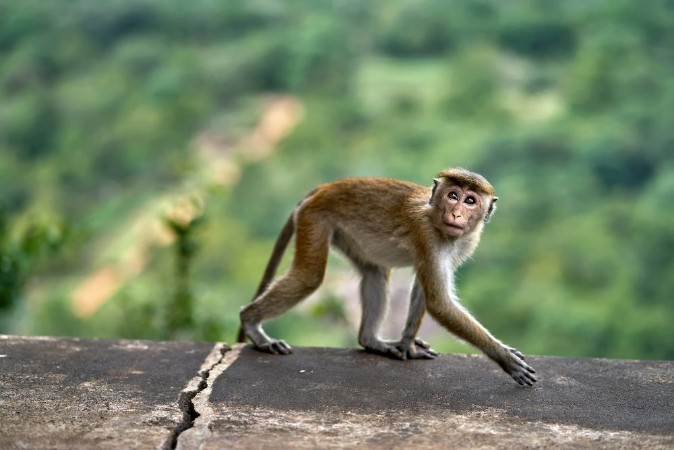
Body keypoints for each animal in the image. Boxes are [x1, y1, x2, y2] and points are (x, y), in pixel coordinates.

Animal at [237, 168, 537, 386]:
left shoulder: (463, 243)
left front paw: (408, 345)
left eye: (470, 200)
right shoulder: (426, 236)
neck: (436, 220)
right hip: (315, 218)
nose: (456, 213)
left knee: (375, 273)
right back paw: (253, 325)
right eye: (453, 195)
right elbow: (438, 301)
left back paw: (372, 341)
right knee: (308, 277)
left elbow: (424, 290)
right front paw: (504, 357)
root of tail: (326, 187)